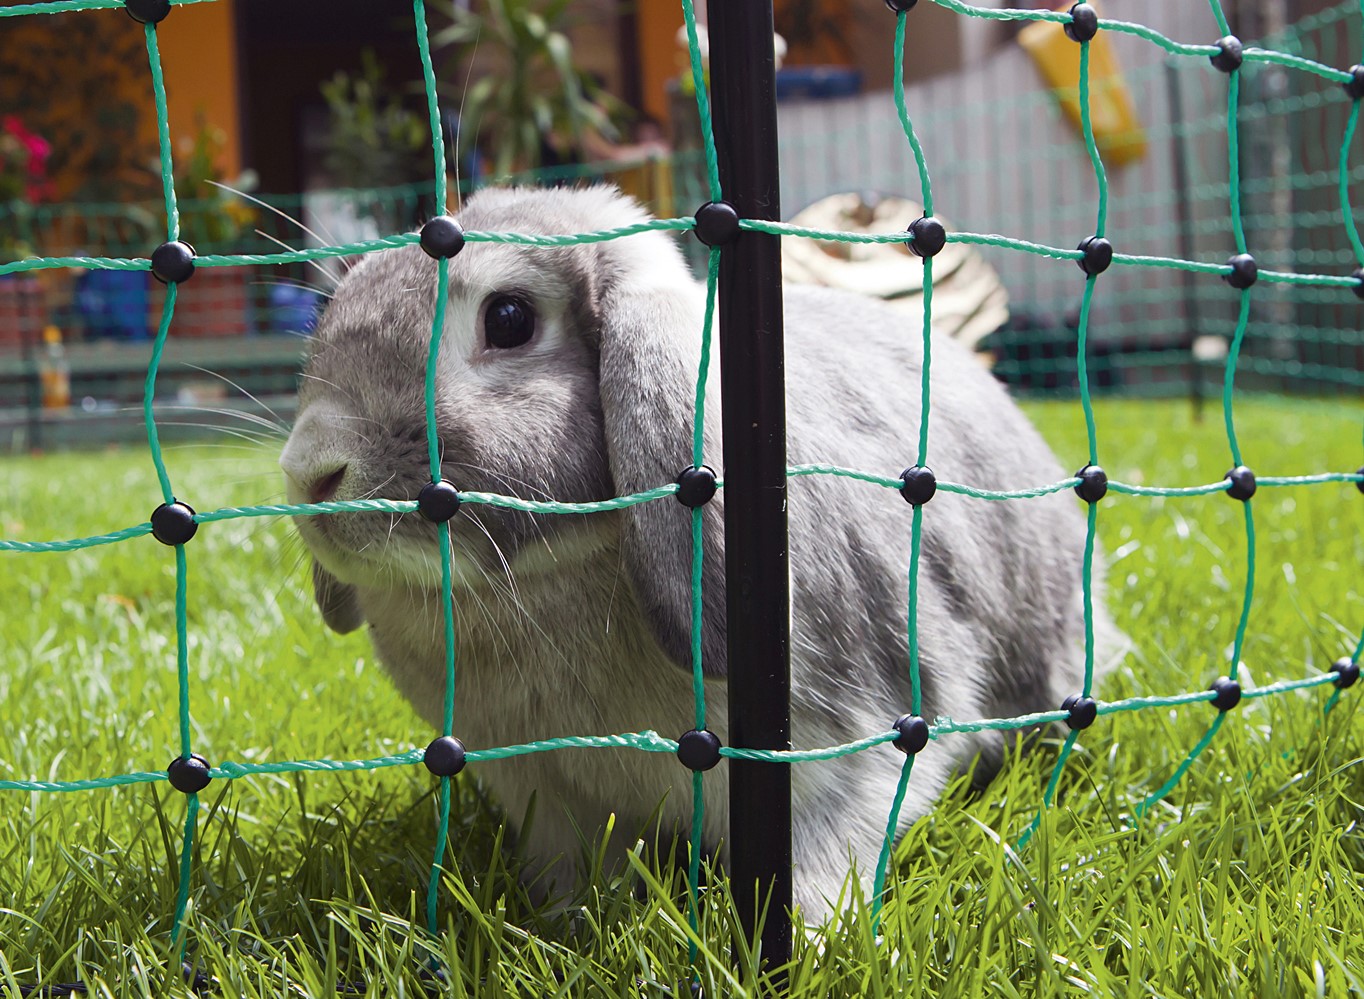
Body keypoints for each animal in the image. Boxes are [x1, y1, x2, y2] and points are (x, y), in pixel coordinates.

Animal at [276, 185, 1118, 922]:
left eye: (509, 318)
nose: (311, 470)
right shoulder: (546, 796)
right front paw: (566, 924)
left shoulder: (852, 751)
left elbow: (828, 856)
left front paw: (810, 940)